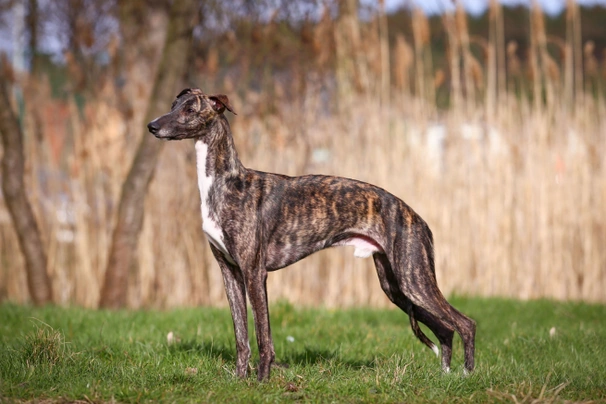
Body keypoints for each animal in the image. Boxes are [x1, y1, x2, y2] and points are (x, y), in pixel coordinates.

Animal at [146, 88, 476, 382]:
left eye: (190, 109)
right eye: (174, 105)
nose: (152, 126)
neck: (227, 182)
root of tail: (417, 217)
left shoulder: (254, 272)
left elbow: (263, 336)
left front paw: (261, 382)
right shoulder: (229, 271)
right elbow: (241, 337)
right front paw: (239, 381)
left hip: (412, 277)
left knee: (465, 323)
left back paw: (467, 375)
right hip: (395, 285)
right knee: (445, 328)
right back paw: (446, 376)